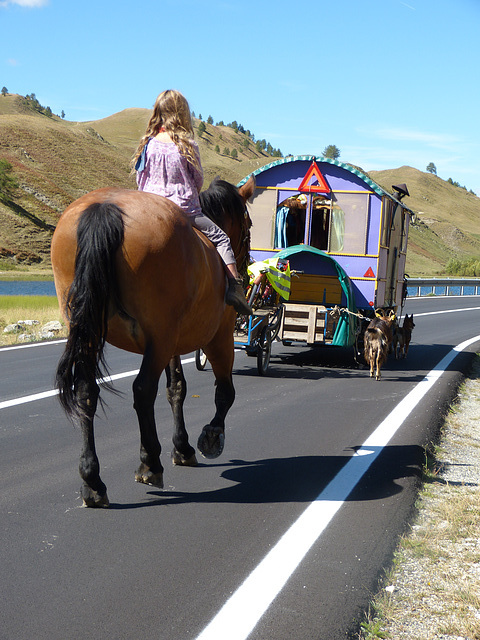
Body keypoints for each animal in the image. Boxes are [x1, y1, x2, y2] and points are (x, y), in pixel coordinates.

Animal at [51, 175, 255, 504]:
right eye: (248, 223)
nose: (246, 268)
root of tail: (105, 207)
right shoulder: (218, 337)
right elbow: (225, 392)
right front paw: (211, 435)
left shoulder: (172, 343)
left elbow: (177, 389)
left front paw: (182, 447)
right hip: (159, 338)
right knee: (143, 390)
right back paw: (149, 463)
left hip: (89, 330)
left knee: (85, 392)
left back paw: (92, 481)